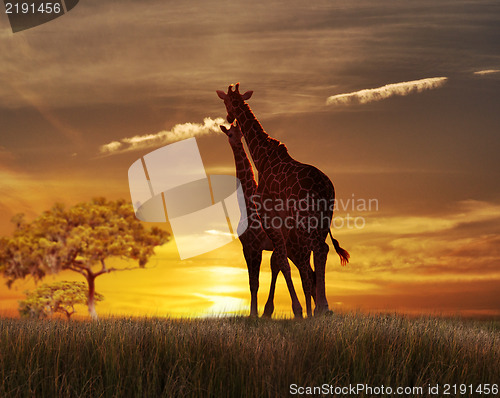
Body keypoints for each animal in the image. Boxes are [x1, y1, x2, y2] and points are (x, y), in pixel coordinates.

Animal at [220, 122, 316, 318]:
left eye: (239, 133)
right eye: (231, 133)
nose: (237, 141)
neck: (246, 204)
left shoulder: (254, 246)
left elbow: (255, 282)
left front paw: (254, 314)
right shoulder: (247, 247)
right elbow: (252, 281)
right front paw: (256, 313)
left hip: (295, 249)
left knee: (308, 274)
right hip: (293, 251)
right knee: (310, 273)